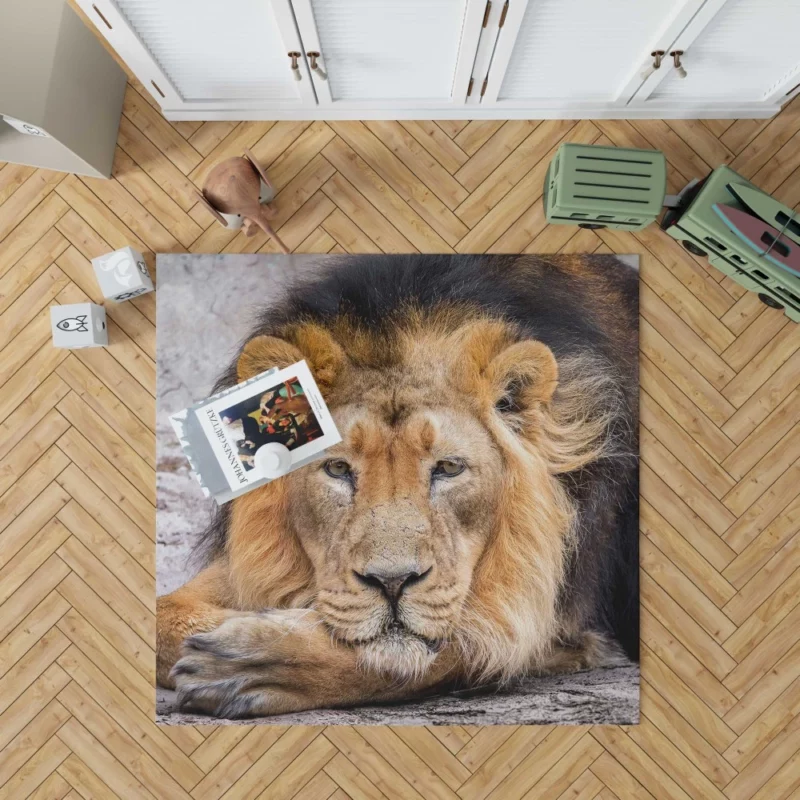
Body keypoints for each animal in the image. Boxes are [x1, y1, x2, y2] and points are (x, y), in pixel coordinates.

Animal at [159, 255, 640, 720]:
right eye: (337, 469)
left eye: (448, 468)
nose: (392, 582)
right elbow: (164, 618)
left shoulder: (563, 621)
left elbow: (464, 647)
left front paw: (248, 665)